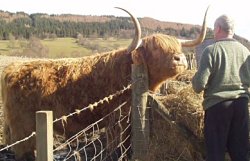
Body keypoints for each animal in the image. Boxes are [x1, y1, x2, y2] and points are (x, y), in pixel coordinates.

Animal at [0, 6, 208, 160]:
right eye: (156, 48)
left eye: (178, 46)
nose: (180, 59)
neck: (126, 68)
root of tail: (12, 68)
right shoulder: (117, 119)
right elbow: (117, 145)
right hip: (22, 127)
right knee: (24, 151)